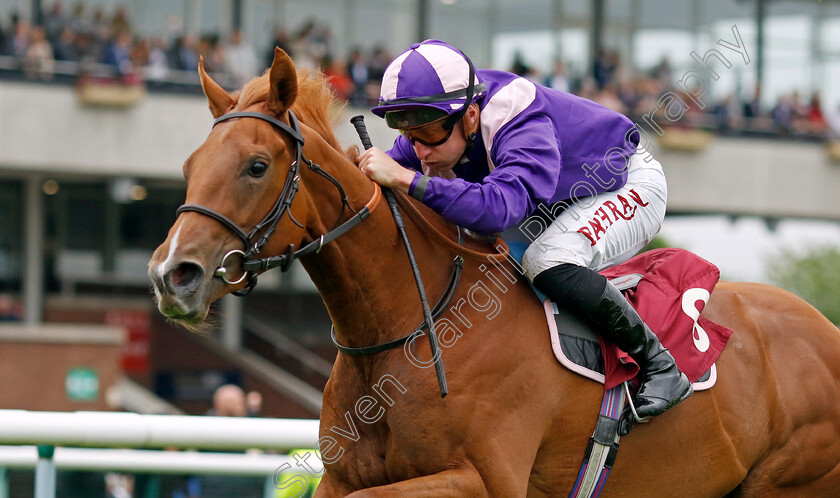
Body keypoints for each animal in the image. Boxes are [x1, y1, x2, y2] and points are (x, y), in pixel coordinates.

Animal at [148, 48, 840, 496]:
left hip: (792, 480)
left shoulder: (481, 478)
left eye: (256, 166)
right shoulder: (343, 477)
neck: (410, 327)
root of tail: (823, 330)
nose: (171, 274)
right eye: (188, 165)